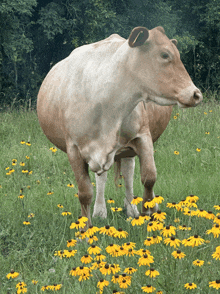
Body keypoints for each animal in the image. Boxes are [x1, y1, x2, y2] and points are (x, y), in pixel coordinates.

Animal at [36, 27, 203, 225]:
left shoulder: (142, 136)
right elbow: (85, 192)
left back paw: (132, 208)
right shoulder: (74, 149)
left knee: (129, 171)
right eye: (164, 55)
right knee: (102, 177)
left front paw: (148, 211)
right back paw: (100, 211)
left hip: (127, 147)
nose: (196, 94)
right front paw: (86, 229)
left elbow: (149, 177)